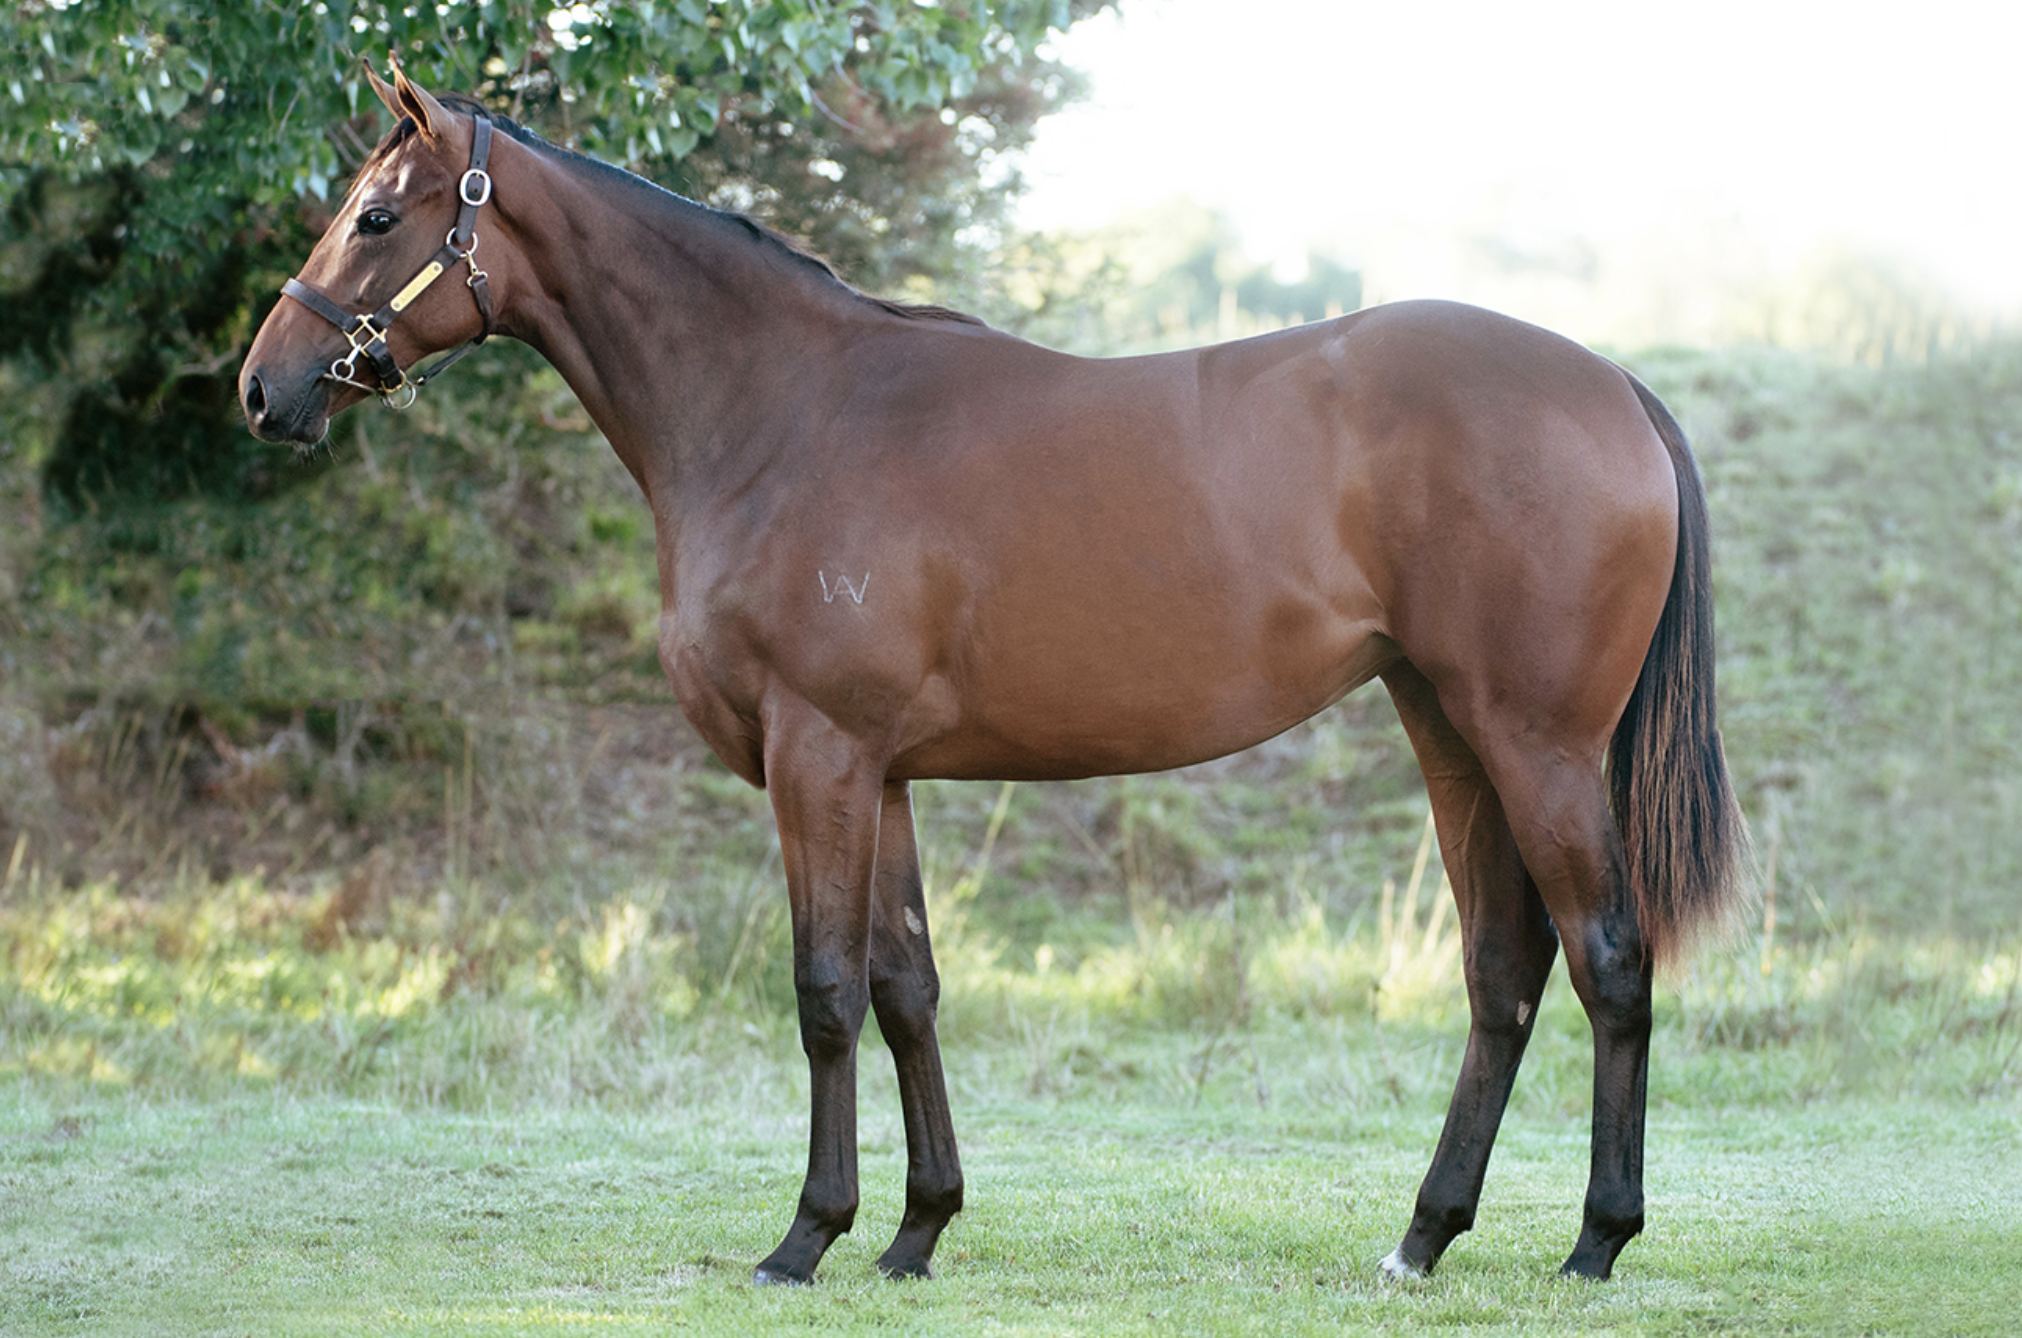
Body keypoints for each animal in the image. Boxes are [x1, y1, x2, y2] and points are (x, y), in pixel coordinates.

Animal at [236, 62, 1747, 1293]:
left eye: (378, 219)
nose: (265, 386)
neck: (786, 414)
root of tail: (1612, 384)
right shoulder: (881, 774)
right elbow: (907, 988)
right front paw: (916, 1229)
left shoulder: (818, 757)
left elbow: (824, 992)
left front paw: (806, 1236)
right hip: (1447, 731)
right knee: (1504, 970)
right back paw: (1423, 1236)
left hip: (1536, 743)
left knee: (1610, 960)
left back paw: (1597, 1240)